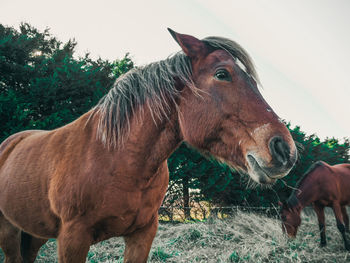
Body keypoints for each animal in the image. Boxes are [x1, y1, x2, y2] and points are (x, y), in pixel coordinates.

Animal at [0, 28, 296, 262]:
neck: (118, 158)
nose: (285, 150)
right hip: (9, 230)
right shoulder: (72, 238)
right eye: (222, 74)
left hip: (34, 233)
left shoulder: (142, 236)